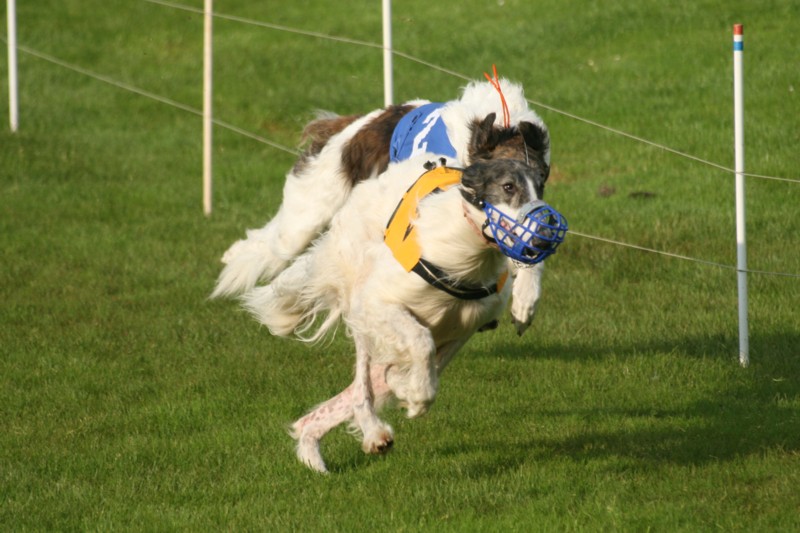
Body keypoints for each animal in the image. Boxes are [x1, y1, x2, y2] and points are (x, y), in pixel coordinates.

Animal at [212, 77, 552, 335]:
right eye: (506, 185)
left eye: (540, 183)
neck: (502, 127)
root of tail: (350, 126)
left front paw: (523, 304)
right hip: (310, 210)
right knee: (270, 243)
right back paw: (232, 265)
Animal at [240, 155, 565, 473]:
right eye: (508, 187)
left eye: (540, 187)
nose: (543, 240)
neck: (467, 254)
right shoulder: (380, 301)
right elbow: (420, 345)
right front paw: (417, 398)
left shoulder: (464, 324)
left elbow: (418, 366)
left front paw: (409, 387)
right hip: (358, 288)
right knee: (363, 377)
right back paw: (372, 431)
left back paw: (314, 440)